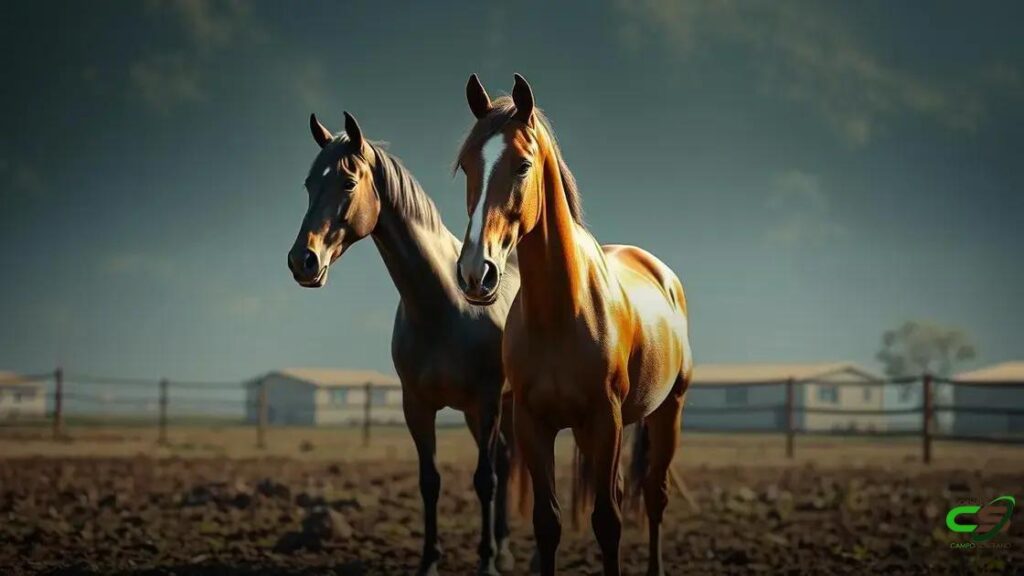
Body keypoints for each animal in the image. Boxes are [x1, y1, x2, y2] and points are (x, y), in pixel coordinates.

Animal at [287, 111, 523, 575]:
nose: (302, 261)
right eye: (307, 184)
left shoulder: (485, 401)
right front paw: (429, 562)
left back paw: (502, 551)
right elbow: (429, 481)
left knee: (503, 465)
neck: (443, 305)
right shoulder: (416, 405)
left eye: (348, 182)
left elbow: (483, 480)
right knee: (504, 460)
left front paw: (485, 562)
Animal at [453, 74, 693, 576]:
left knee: (655, 496)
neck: (561, 312)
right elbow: (548, 522)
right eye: (466, 166)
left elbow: (608, 521)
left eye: (523, 166)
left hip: (667, 412)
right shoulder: (532, 423)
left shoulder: (605, 419)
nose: (474, 273)